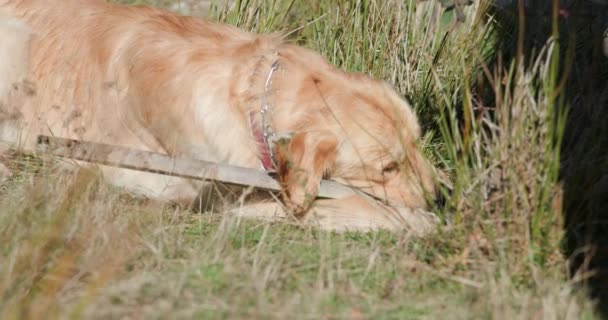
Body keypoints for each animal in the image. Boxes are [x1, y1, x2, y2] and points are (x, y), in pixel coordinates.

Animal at [1, 1, 442, 234]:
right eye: (387, 168)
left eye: (418, 144)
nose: (440, 197)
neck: (254, 98)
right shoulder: (226, 199)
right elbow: (362, 204)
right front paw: (423, 220)